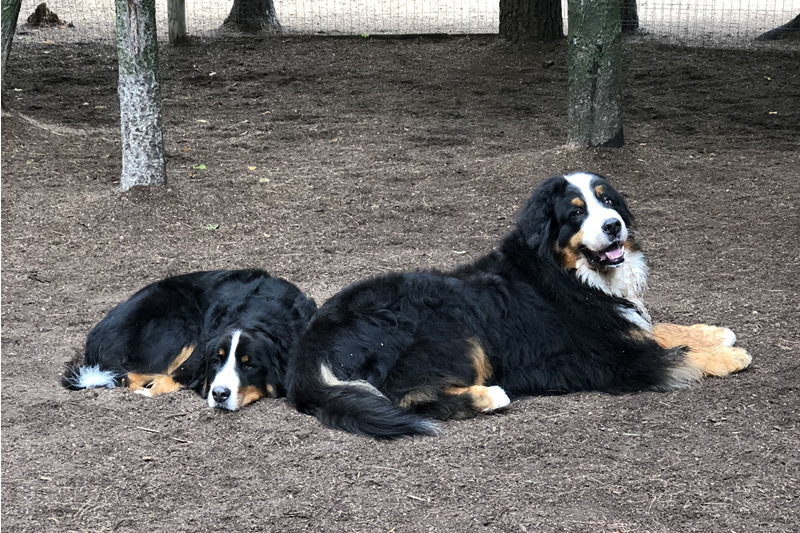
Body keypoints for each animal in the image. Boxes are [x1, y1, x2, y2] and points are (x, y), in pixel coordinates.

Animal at [61, 268, 316, 410]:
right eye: (216, 361)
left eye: (249, 365)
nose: (219, 394)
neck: (259, 315)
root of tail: (95, 336)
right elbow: (170, 379)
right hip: (181, 327)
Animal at [288, 170, 752, 436]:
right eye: (576, 212)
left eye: (608, 201)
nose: (613, 225)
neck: (569, 275)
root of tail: (309, 345)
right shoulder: (614, 358)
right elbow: (677, 355)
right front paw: (728, 356)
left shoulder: (621, 323)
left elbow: (659, 327)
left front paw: (714, 332)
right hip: (453, 326)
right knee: (405, 397)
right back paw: (489, 396)